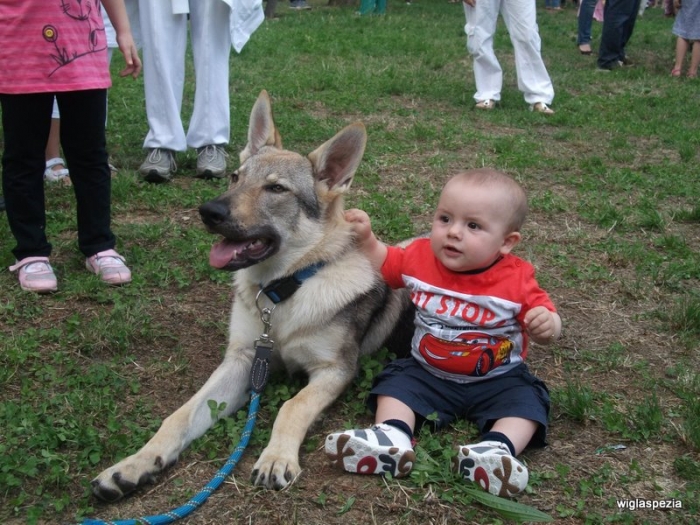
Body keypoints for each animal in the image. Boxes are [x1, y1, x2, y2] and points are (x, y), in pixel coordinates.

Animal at [90, 89, 412, 500]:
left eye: (276, 188)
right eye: (234, 177)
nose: (208, 210)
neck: (282, 293)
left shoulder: (335, 369)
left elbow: (292, 406)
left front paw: (276, 458)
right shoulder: (243, 359)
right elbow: (180, 416)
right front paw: (134, 464)